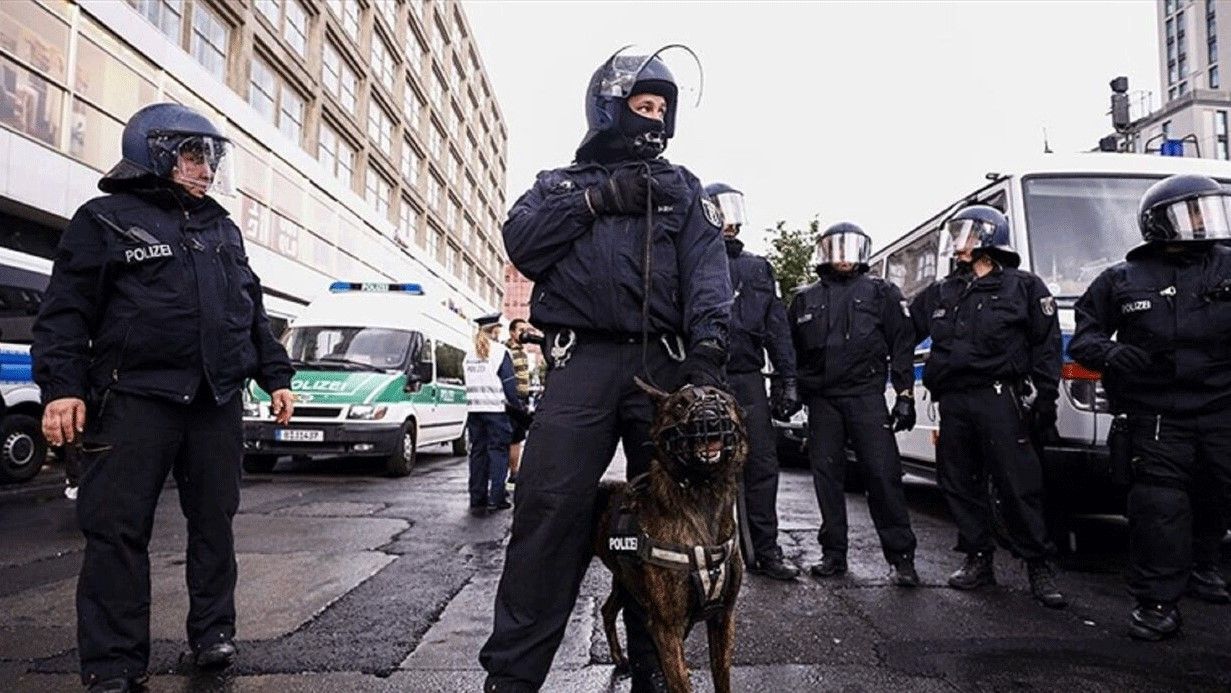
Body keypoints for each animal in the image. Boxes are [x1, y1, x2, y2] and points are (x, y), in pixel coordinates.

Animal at [590, 379, 743, 693]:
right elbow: (680, 683)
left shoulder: (723, 618)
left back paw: (619, 657)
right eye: (680, 405)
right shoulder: (667, 628)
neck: (703, 493)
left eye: (723, 401)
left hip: (625, 583)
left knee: (608, 609)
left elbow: (721, 677)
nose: (709, 418)